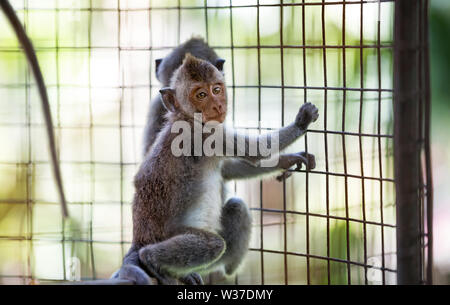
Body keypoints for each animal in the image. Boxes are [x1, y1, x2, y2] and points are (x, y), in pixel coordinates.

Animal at [114, 53, 320, 284]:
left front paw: (288, 159)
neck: (186, 118)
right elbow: (256, 152)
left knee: (237, 208)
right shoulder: (207, 136)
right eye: (201, 94)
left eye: (217, 89)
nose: (218, 106)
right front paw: (301, 122)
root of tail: (138, 240)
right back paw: (151, 259)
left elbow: (228, 170)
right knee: (212, 244)